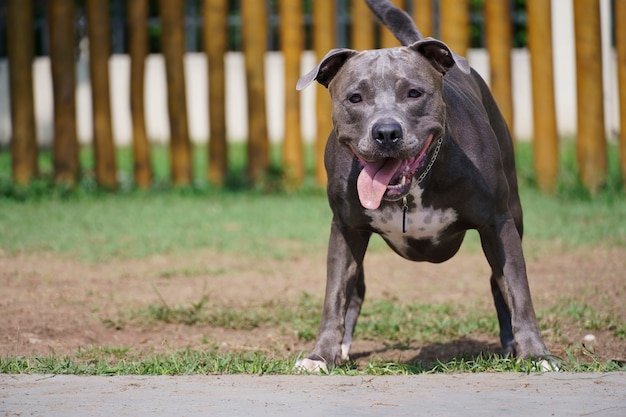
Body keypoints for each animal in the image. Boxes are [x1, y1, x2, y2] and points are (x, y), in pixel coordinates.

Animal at [294, 0, 548, 370]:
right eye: (355, 98)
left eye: (414, 93)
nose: (386, 132)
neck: (411, 190)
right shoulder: (345, 229)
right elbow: (335, 295)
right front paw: (321, 354)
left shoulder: (497, 224)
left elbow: (518, 289)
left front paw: (535, 353)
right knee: (356, 289)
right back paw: (343, 346)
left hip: (515, 212)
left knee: (497, 282)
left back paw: (509, 343)